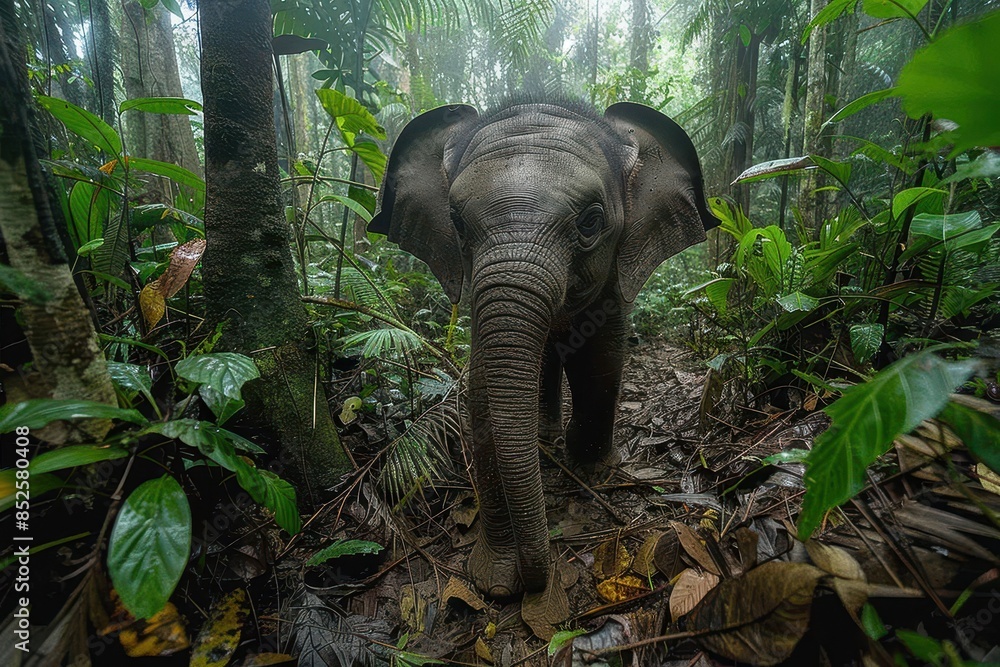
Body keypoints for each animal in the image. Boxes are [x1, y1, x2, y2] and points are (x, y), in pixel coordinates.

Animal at [368, 100, 717, 598]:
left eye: (590, 221)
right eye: (456, 223)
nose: (537, 579)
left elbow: (600, 360)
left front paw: (591, 469)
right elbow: (481, 394)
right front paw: (495, 581)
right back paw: (544, 436)